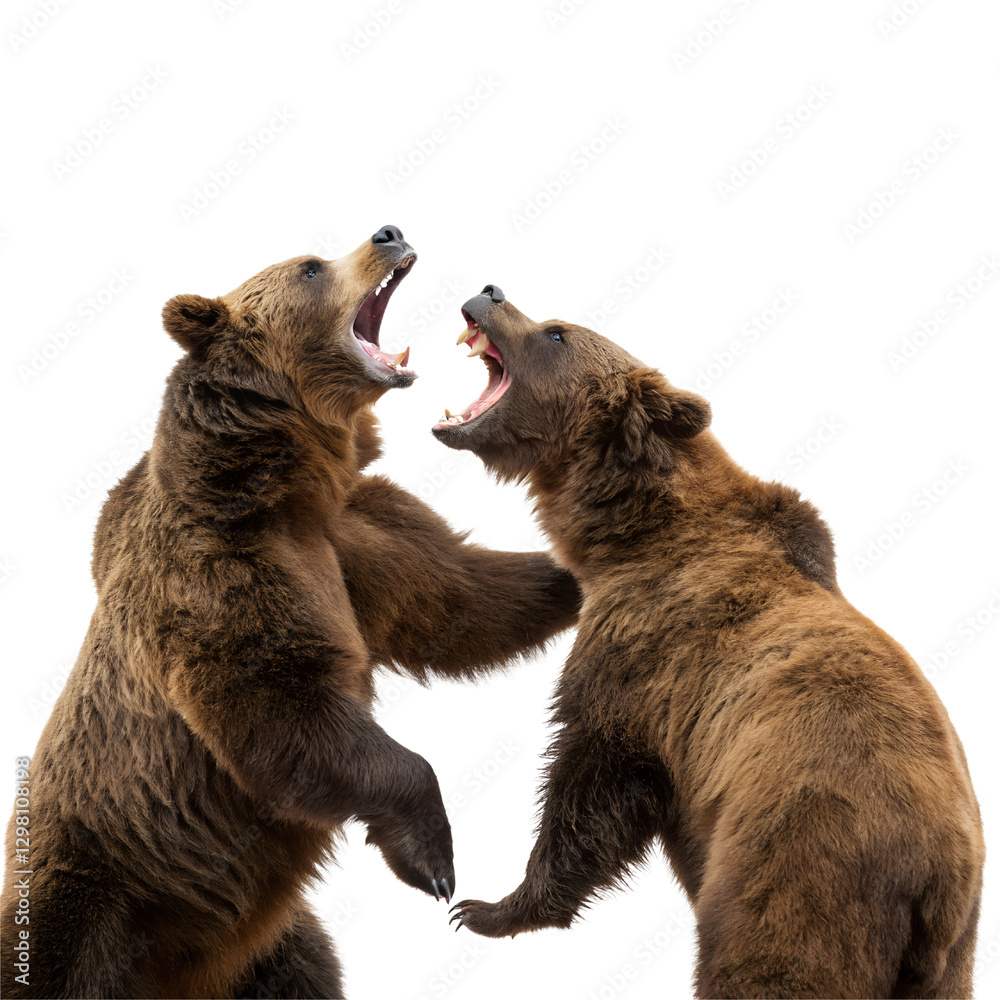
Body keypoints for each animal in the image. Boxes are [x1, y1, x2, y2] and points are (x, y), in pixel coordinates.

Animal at [0, 233, 581, 1000]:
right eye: (310, 267)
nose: (389, 232)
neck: (288, 481)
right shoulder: (221, 567)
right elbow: (279, 704)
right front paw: (432, 860)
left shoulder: (352, 540)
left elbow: (458, 599)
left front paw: (580, 575)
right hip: (95, 887)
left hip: (262, 944)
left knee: (301, 969)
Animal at [435, 285, 984, 999]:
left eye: (556, 333)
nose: (489, 291)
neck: (630, 530)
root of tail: (936, 879)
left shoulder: (647, 650)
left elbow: (596, 771)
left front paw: (488, 908)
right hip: (955, 953)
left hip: (800, 867)